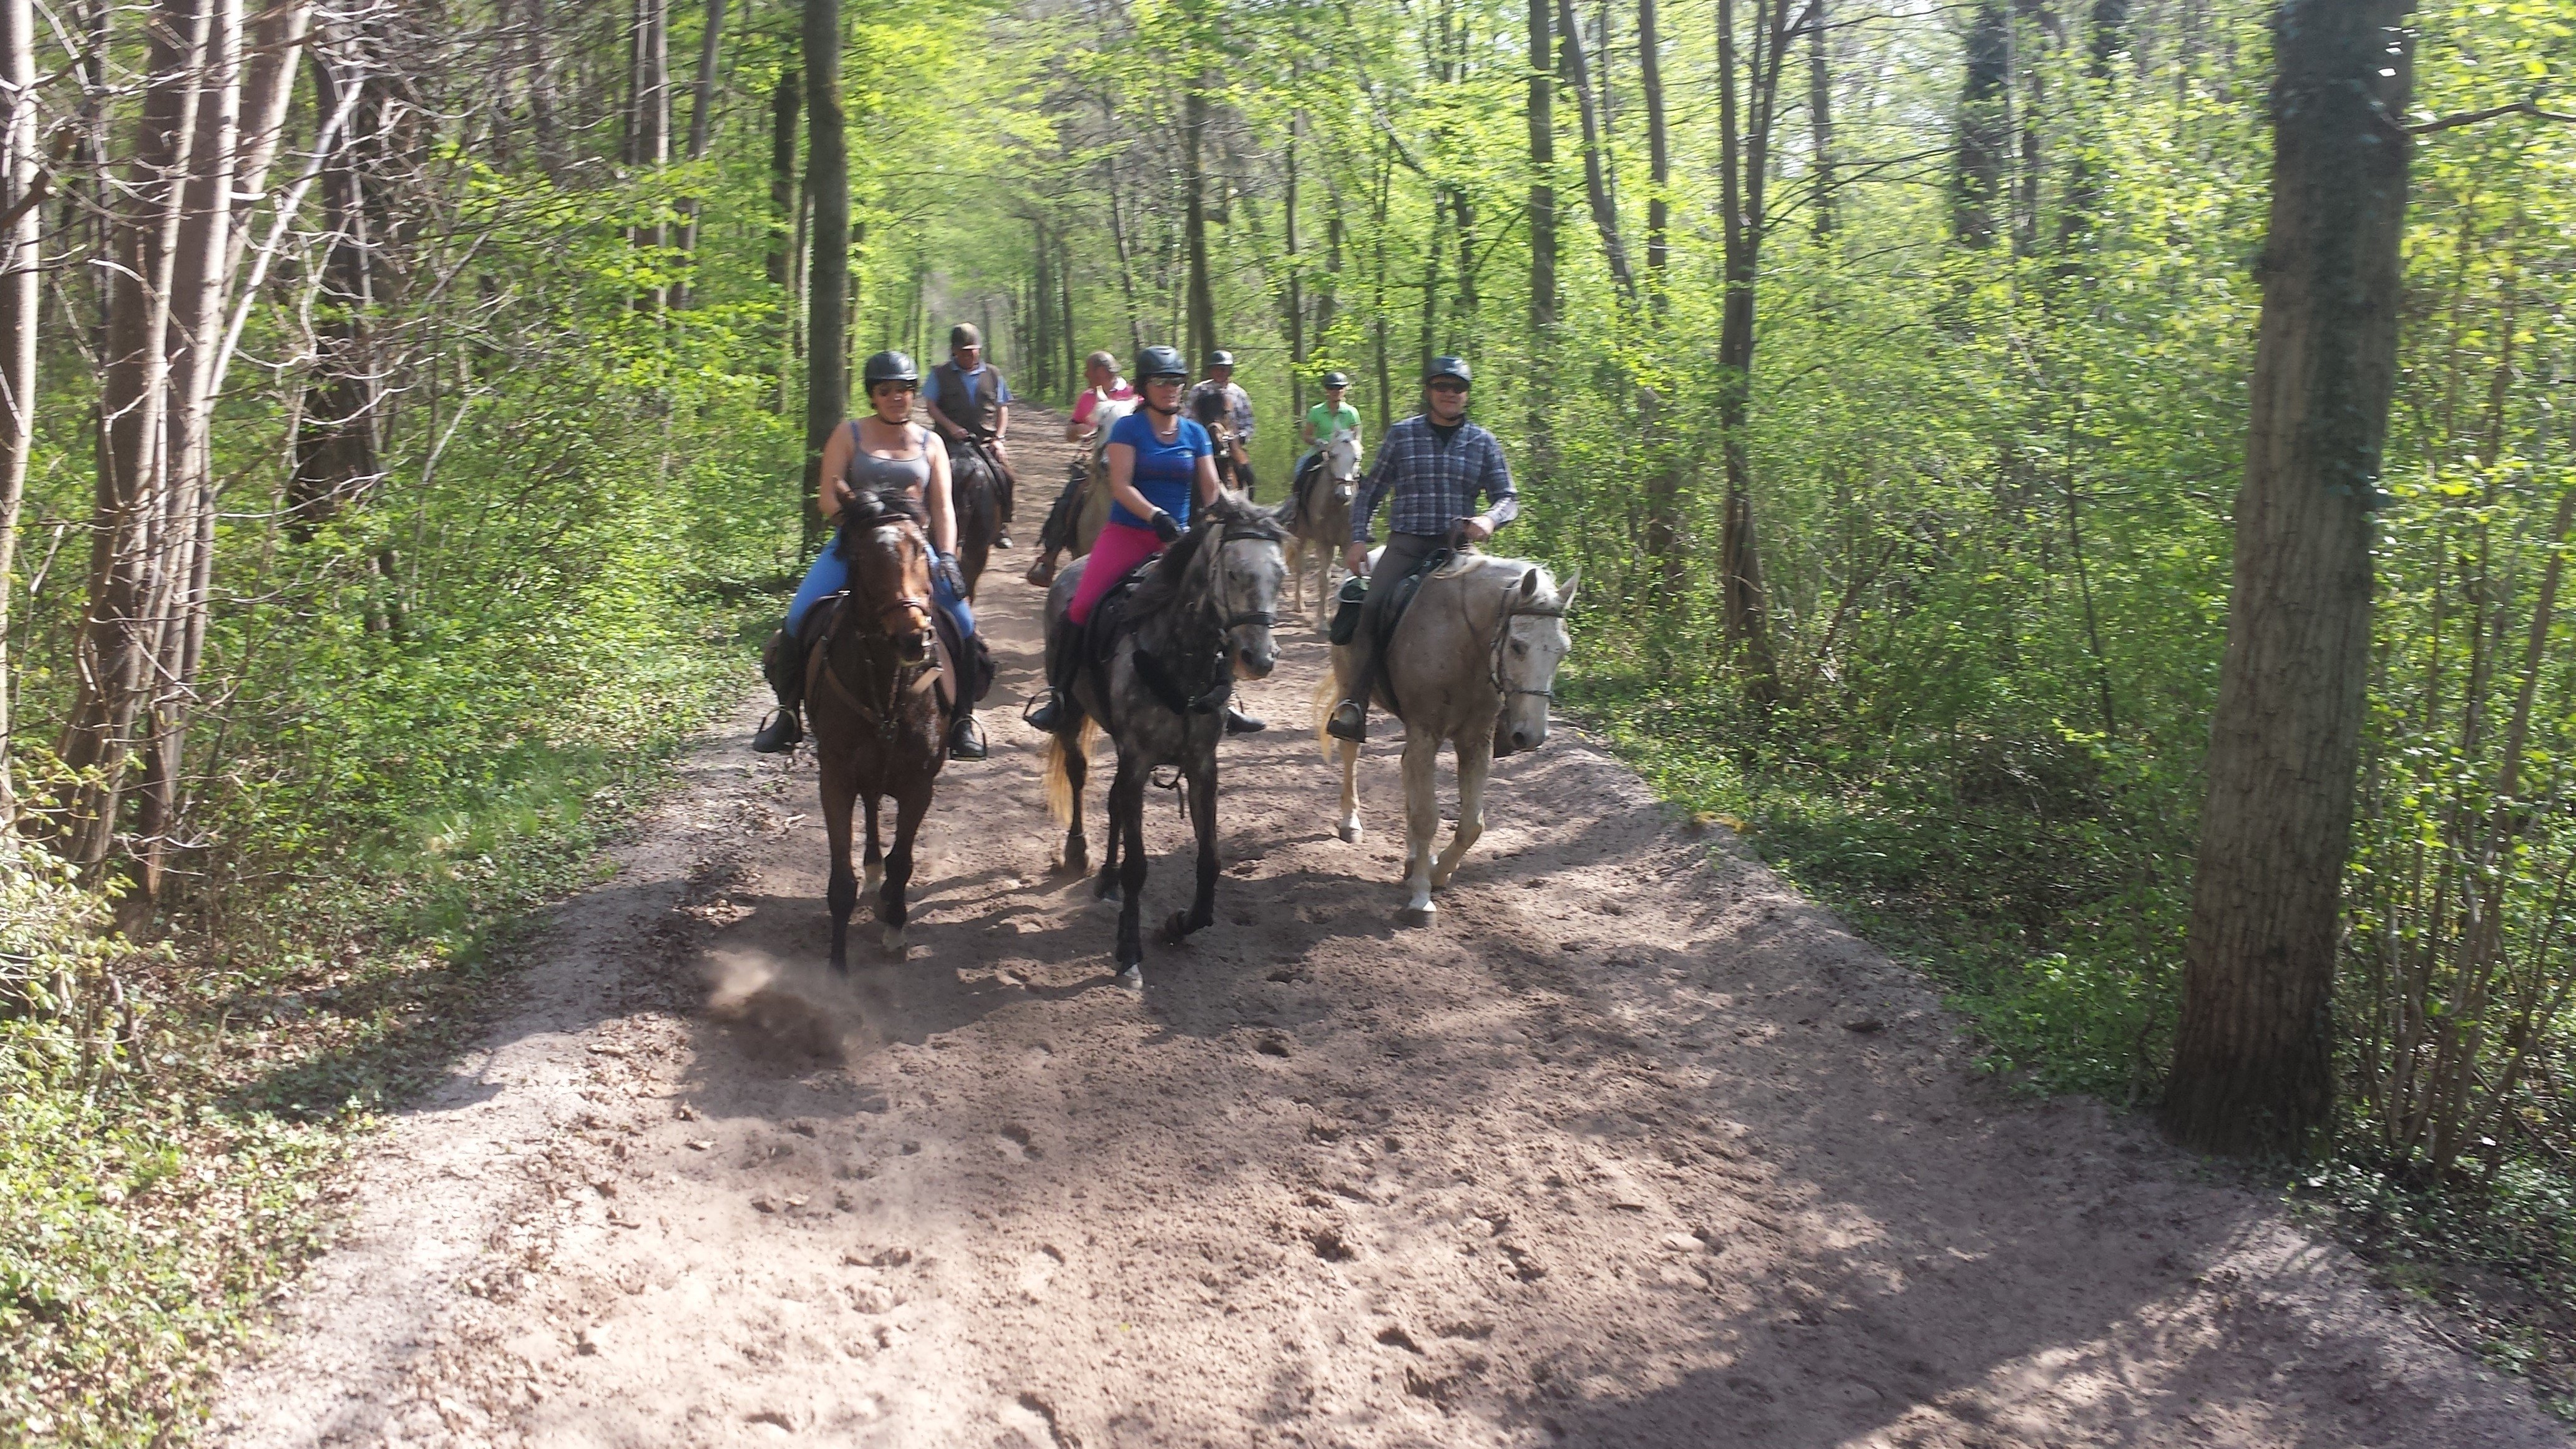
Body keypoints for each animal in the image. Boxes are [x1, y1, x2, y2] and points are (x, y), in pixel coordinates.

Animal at [803, 479, 948, 964]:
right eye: (862, 557)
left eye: (922, 548)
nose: (912, 638)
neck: (886, 689)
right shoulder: (835, 779)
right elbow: (840, 881)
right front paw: (836, 966)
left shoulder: (920, 783)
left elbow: (903, 862)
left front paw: (896, 927)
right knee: (869, 808)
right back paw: (871, 870)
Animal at [1035, 495, 1288, 980]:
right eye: (1234, 573)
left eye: (1281, 575)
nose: (1260, 658)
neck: (1181, 660)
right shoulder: (1137, 760)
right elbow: (1138, 865)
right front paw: (1129, 950)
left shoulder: (1202, 765)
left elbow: (1210, 861)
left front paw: (1180, 923)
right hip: (1073, 714)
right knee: (1079, 774)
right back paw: (1079, 853)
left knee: (1114, 803)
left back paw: (1107, 881)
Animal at [1277, 430, 1360, 629]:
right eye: (1333, 455)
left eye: (1356, 458)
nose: (1343, 495)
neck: (1337, 507)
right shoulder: (1324, 542)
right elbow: (1324, 579)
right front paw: (1322, 621)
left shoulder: (1347, 543)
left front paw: (1334, 617)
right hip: (1301, 536)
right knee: (1300, 568)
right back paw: (1299, 605)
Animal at [1319, 546, 1576, 917]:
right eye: (1517, 645)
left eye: (1563, 650)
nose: (1532, 736)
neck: (1464, 642)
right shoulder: (1426, 732)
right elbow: (1428, 817)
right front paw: (1421, 898)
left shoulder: (1474, 742)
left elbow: (1471, 825)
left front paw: (1438, 872)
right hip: (1349, 690)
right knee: (1351, 752)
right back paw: (1351, 824)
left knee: (1407, 769)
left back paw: (1414, 857)